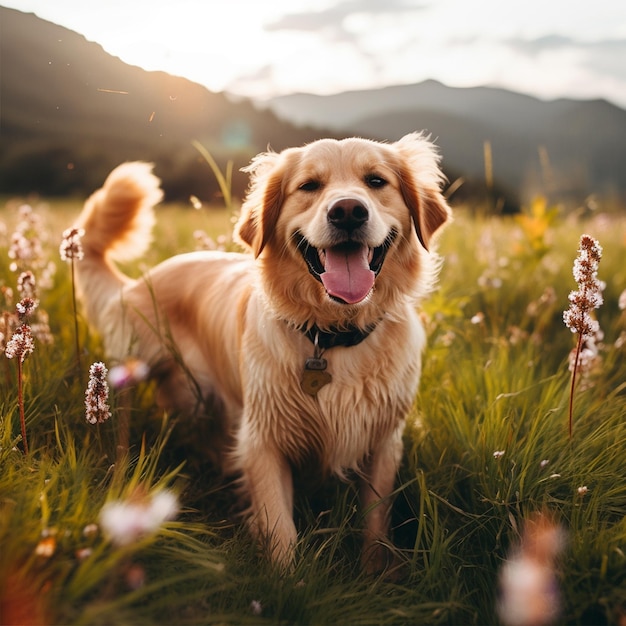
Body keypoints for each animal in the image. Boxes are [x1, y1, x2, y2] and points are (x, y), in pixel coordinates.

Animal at [73, 133, 448, 572]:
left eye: (376, 181)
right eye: (309, 186)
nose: (348, 211)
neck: (330, 334)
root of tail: (138, 282)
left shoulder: (384, 439)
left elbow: (376, 518)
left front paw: (377, 572)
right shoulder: (263, 439)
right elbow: (279, 525)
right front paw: (286, 579)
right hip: (132, 376)